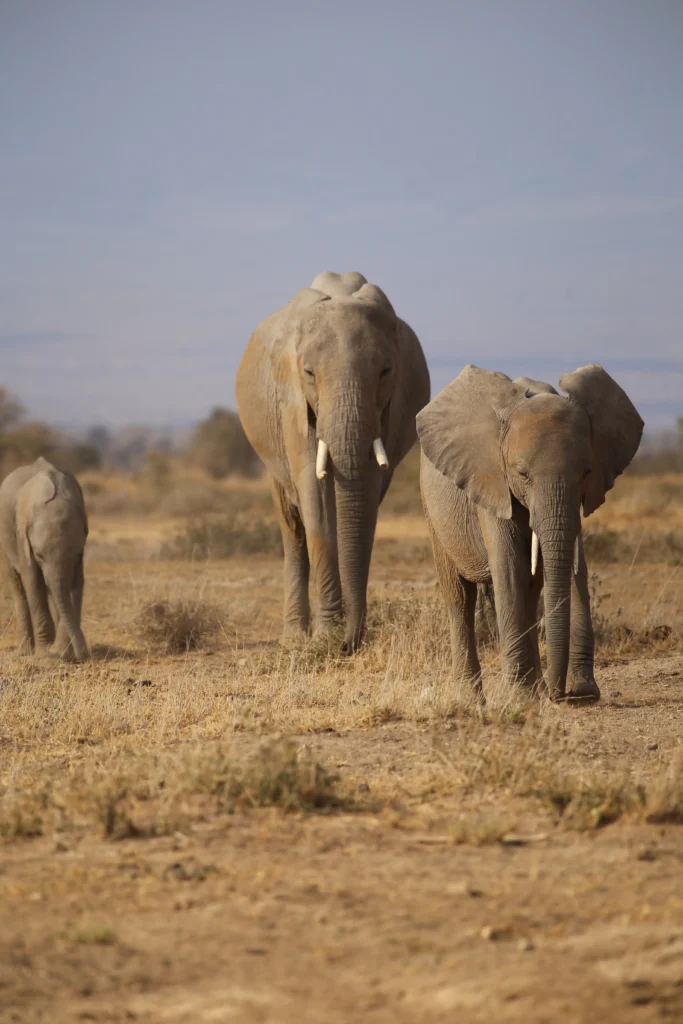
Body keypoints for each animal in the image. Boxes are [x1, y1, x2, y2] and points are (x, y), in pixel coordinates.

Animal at [0, 457, 89, 661]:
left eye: (77, 553)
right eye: (39, 555)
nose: (85, 655)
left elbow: (76, 585)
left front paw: (62, 653)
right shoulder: (22, 537)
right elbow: (33, 583)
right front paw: (45, 654)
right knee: (18, 586)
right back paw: (25, 651)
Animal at [236, 271, 430, 652]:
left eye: (386, 371)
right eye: (309, 372)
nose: (349, 644)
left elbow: (366, 501)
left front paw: (340, 635)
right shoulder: (292, 402)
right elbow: (315, 497)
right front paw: (326, 637)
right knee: (292, 527)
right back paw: (294, 638)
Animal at [417, 364, 643, 702]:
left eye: (586, 473)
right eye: (522, 474)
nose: (562, 694)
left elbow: (555, 567)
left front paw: (552, 693)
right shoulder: (492, 479)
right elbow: (509, 567)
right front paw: (520, 698)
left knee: (532, 586)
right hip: (433, 509)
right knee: (460, 595)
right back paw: (472, 698)